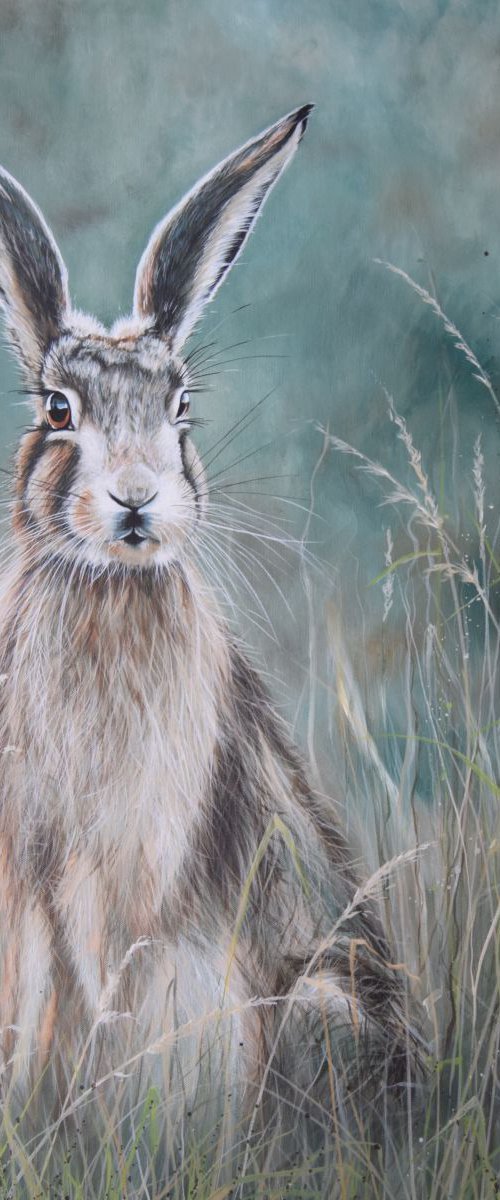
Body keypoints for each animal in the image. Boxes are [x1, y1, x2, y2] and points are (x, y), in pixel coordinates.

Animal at [0, 107, 420, 1169]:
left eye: (181, 407)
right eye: (58, 410)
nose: (137, 499)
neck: (109, 594)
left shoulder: (135, 859)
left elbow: (109, 972)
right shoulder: (31, 872)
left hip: (316, 1018)